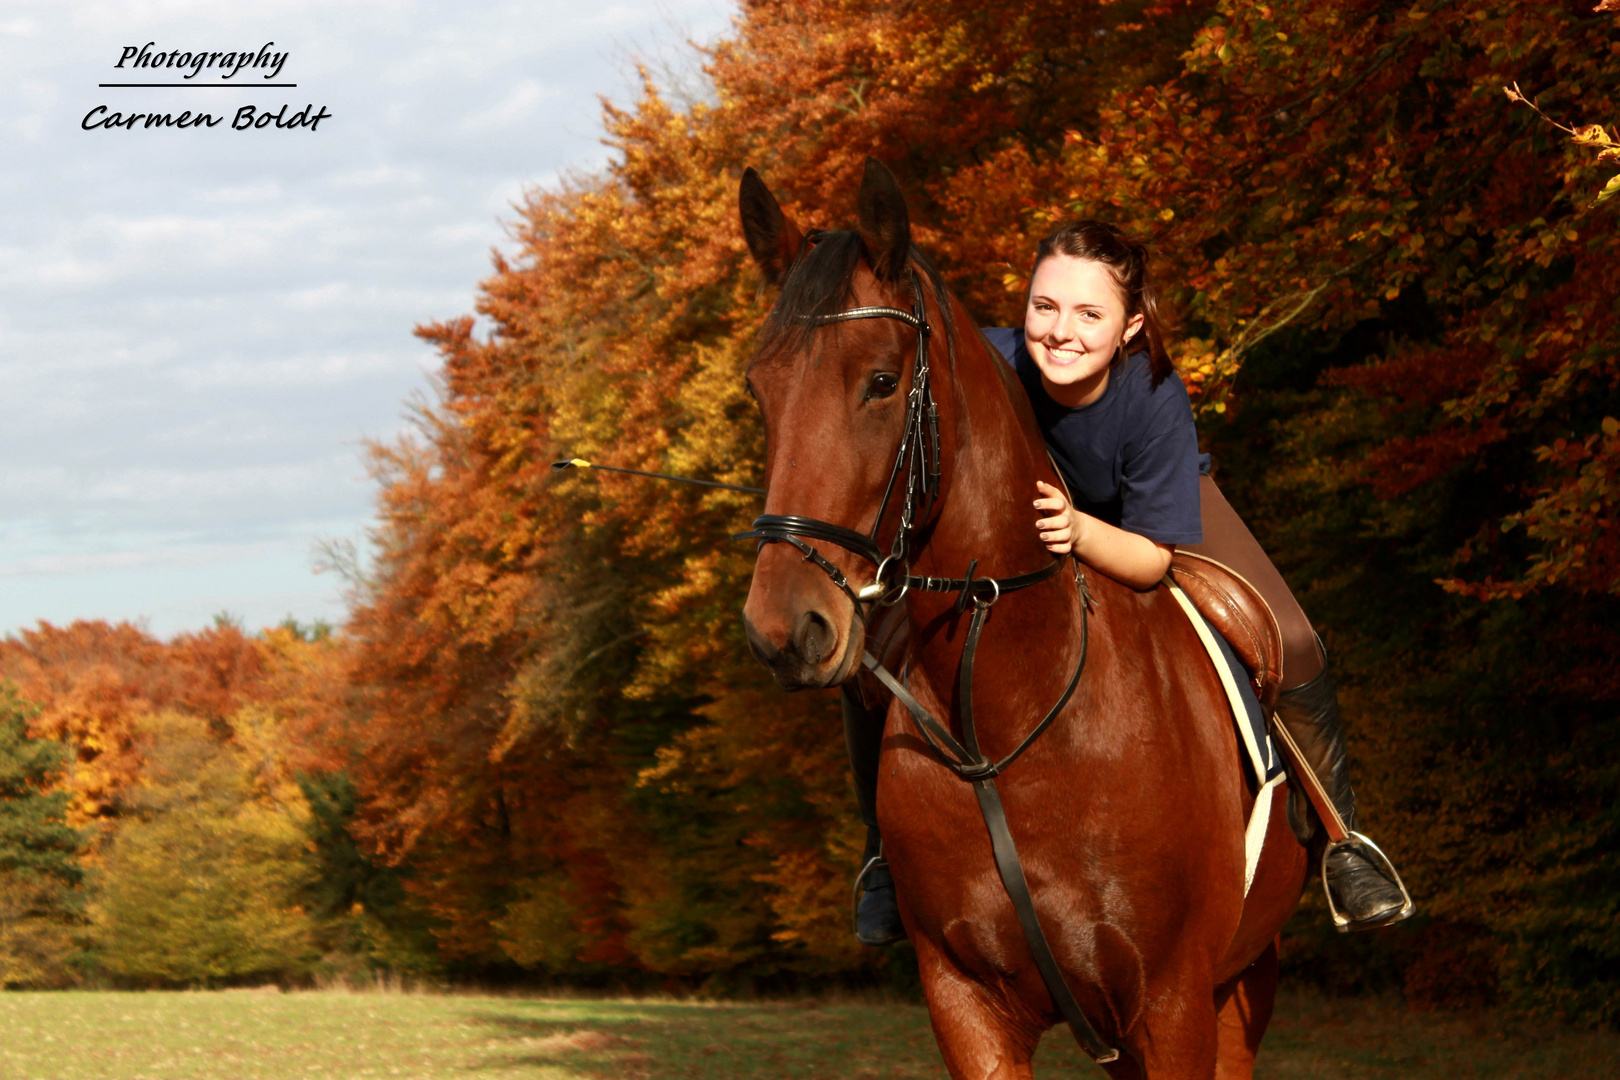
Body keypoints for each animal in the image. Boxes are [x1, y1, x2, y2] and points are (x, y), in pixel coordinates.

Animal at [741, 160, 1308, 1080]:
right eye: (761, 389)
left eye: (882, 381)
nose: (783, 628)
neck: (1009, 710)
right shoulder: (966, 1003)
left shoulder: (1176, 1002)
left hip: (1243, 981)